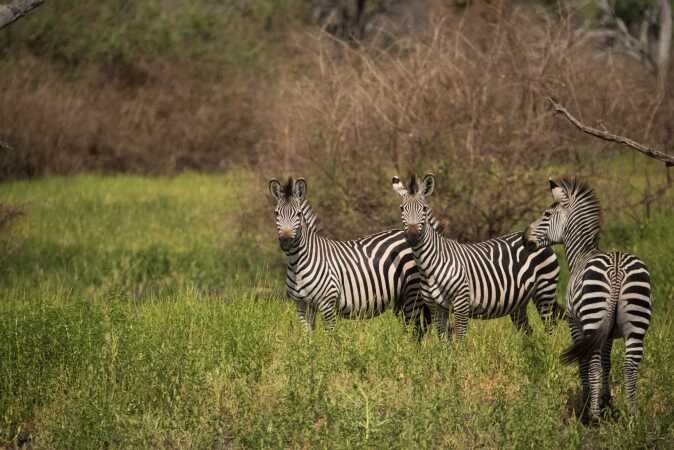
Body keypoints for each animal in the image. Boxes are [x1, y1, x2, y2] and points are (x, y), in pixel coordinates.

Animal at [269, 176, 432, 336]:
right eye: (276, 213)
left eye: (298, 214)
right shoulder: (302, 304)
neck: (297, 261)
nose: (285, 241)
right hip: (401, 299)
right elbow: (308, 338)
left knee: (415, 331)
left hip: (413, 293)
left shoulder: (327, 303)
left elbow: (330, 337)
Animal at [391, 173, 564, 339]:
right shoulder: (436, 308)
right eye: (401, 209)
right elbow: (443, 341)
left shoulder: (461, 303)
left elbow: (459, 340)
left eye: (424, 209)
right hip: (519, 302)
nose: (413, 236)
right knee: (528, 331)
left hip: (545, 292)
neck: (429, 266)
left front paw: (459, 350)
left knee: (550, 330)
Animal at [524, 178, 651, 422]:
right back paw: (631, 414)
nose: (525, 237)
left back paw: (592, 416)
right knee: (630, 366)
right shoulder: (607, 333)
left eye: (547, 214)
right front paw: (606, 399)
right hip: (636, 320)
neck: (583, 254)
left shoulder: (575, 324)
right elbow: (607, 363)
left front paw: (588, 402)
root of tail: (617, 270)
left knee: (592, 364)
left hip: (593, 317)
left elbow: (585, 364)